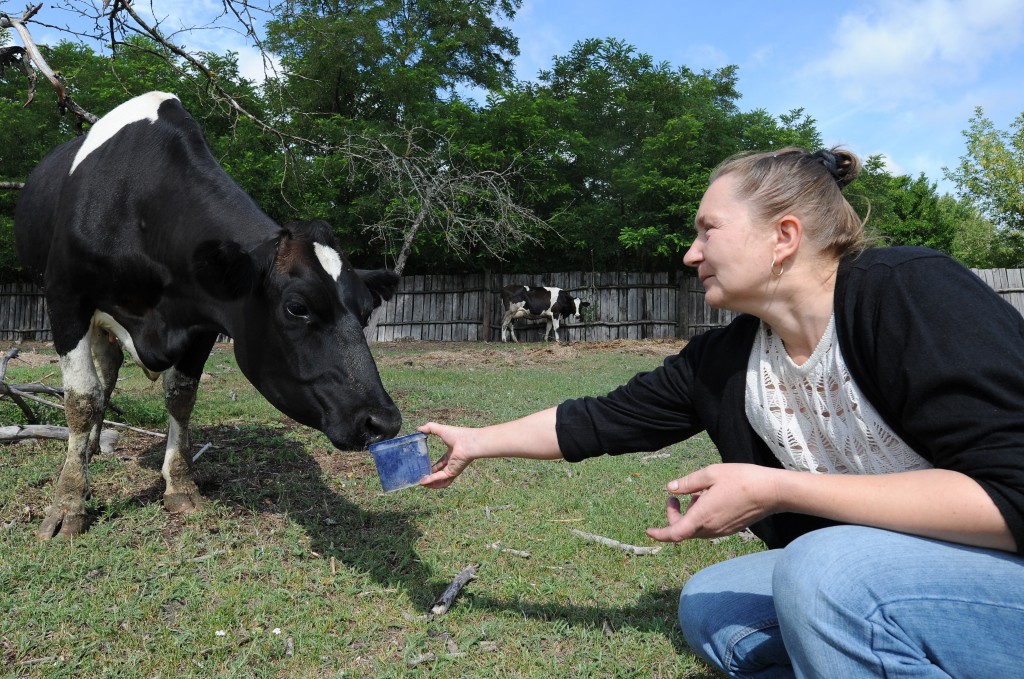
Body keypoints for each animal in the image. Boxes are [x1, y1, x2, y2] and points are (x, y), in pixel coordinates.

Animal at [14, 91, 403, 540]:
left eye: (367, 310)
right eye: (297, 307)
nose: (383, 421)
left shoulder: (199, 319)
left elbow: (181, 398)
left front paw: (180, 484)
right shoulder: (65, 299)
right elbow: (80, 400)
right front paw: (69, 503)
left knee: (108, 366)